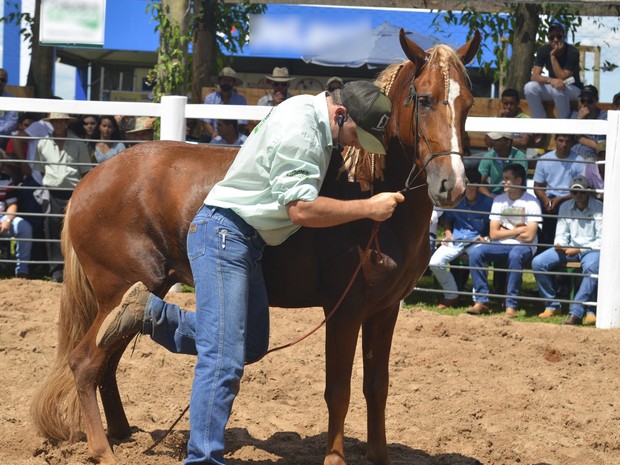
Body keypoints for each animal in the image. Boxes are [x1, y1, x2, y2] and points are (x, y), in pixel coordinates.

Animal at [31, 29, 482, 464]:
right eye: (423, 99)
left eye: (468, 101)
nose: (452, 183)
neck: (369, 191)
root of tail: (88, 183)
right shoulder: (344, 311)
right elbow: (338, 390)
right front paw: (335, 458)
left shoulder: (384, 311)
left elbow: (377, 387)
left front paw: (379, 456)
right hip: (121, 287)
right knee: (86, 362)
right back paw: (102, 449)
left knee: (108, 362)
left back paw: (123, 432)